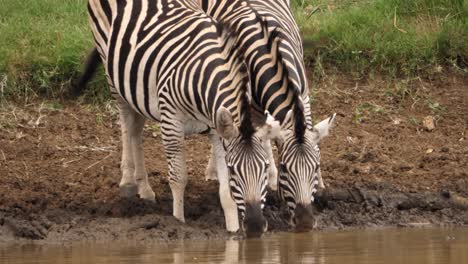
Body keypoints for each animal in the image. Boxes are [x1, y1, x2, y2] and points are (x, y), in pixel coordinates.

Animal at [85, 0, 280, 237]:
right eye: (234, 170)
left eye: (265, 167)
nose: (255, 226)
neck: (203, 77)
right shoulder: (171, 122)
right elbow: (178, 178)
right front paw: (178, 223)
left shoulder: (217, 130)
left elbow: (226, 193)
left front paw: (233, 232)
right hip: (112, 71)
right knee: (127, 123)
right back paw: (128, 181)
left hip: (138, 87)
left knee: (136, 129)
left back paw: (144, 188)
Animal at [197, 0, 336, 231]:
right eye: (285, 168)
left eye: (315, 166)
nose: (306, 223)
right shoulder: (249, 106)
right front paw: (270, 176)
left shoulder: (304, 95)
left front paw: (320, 181)